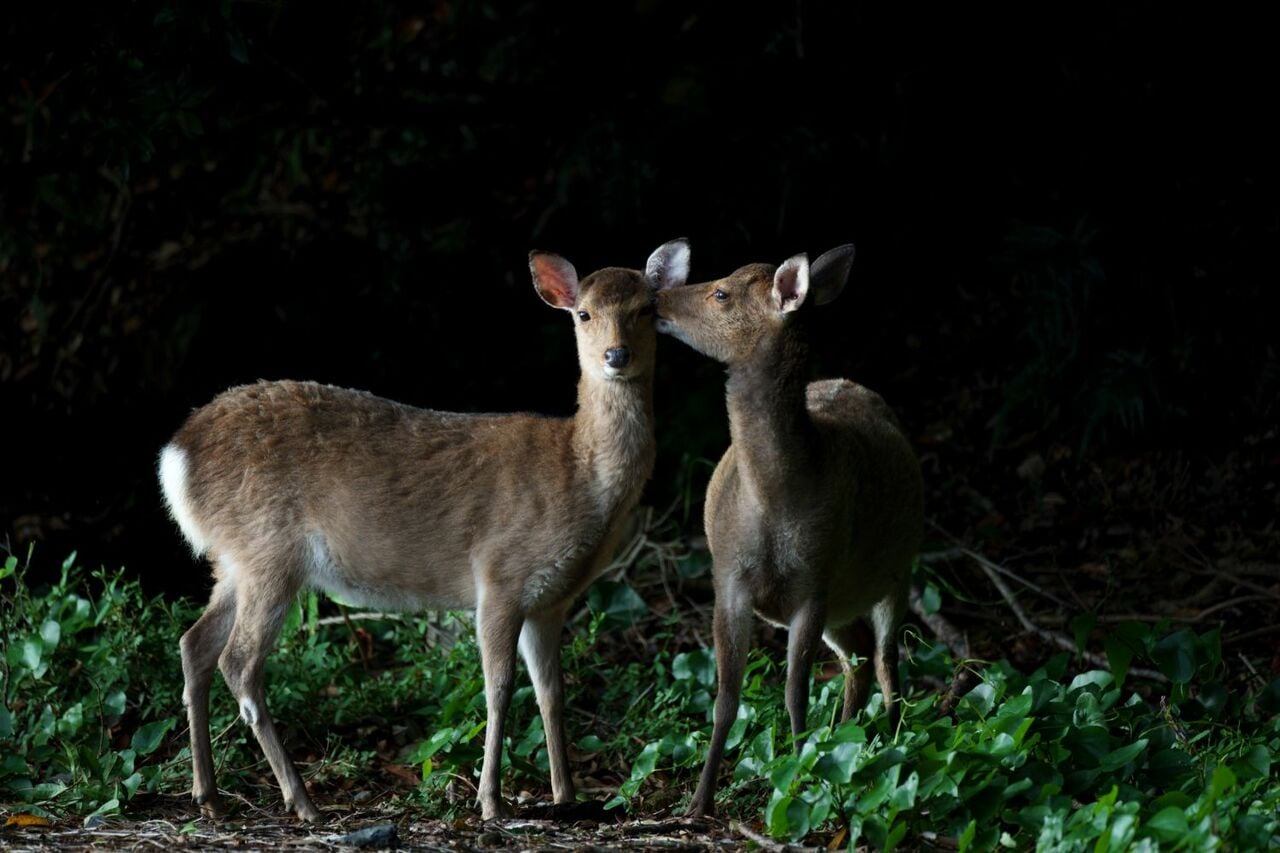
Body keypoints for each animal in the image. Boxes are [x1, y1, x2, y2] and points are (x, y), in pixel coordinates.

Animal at [160, 236, 691, 819]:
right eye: (584, 313)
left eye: (647, 309)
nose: (616, 356)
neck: (580, 476)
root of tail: (177, 455)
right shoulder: (500, 576)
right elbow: (498, 687)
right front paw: (491, 801)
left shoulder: (551, 599)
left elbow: (552, 691)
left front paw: (567, 795)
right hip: (269, 551)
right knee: (238, 662)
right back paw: (301, 801)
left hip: (234, 557)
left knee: (193, 643)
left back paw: (209, 795)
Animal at [660, 242, 921, 814]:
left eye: (721, 293)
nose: (656, 298)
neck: (775, 505)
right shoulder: (728, 582)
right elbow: (726, 699)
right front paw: (698, 803)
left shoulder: (814, 584)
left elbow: (793, 693)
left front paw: (803, 777)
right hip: (842, 607)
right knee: (858, 659)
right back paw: (847, 740)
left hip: (900, 568)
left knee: (887, 659)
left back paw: (893, 742)